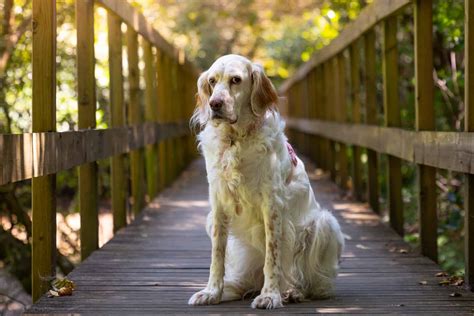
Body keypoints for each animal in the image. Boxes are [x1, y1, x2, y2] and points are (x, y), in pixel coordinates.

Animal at [189, 53, 344, 308]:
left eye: (235, 80)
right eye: (212, 81)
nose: (214, 104)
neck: (236, 139)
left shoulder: (271, 204)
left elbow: (272, 257)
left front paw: (270, 295)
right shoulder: (219, 204)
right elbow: (217, 256)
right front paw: (212, 292)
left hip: (324, 223)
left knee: (313, 282)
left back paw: (293, 291)